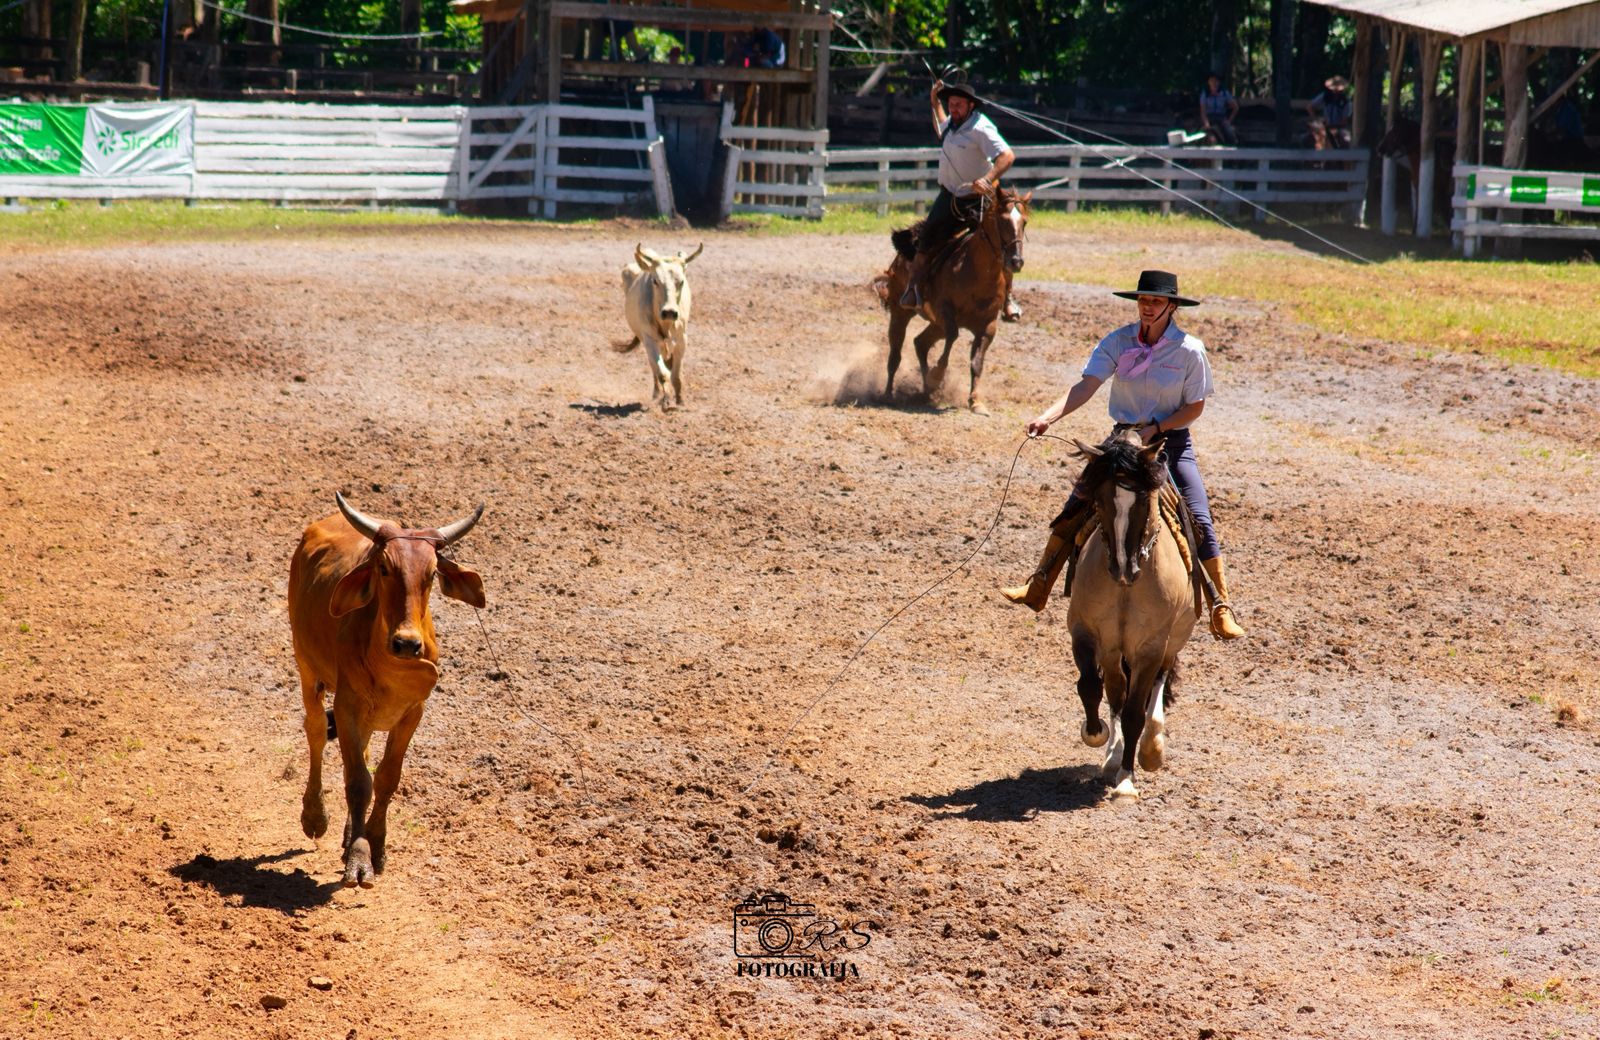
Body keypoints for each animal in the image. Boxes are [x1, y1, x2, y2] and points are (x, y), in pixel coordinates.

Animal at [876, 189, 1030, 415]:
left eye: (1024, 222)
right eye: (1002, 221)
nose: (1016, 262)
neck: (976, 273)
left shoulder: (988, 326)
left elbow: (976, 363)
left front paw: (975, 402)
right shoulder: (945, 313)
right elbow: (953, 337)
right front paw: (936, 376)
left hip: (935, 324)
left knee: (920, 343)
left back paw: (928, 392)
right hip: (900, 313)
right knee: (895, 354)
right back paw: (889, 395)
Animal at [1066, 427, 1198, 800]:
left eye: (1143, 501)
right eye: (1099, 499)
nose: (1124, 569)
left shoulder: (1151, 647)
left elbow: (1135, 712)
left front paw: (1126, 780)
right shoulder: (1085, 631)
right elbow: (1091, 686)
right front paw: (1095, 734)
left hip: (1170, 642)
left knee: (1155, 687)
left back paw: (1151, 749)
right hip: (1114, 649)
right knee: (1115, 690)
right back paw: (1112, 754)